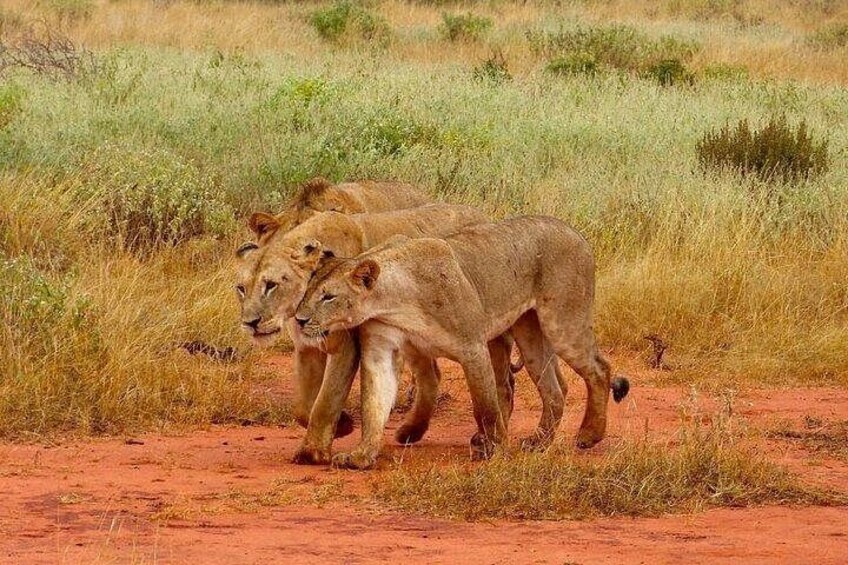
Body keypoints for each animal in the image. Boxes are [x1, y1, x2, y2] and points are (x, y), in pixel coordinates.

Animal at [236, 203, 517, 466]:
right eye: (240, 288)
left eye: (271, 285)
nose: (250, 323)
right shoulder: (307, 348)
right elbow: (303, 407)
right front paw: (341, 426)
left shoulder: (347, 346)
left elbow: (325, 401)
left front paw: (314, 452)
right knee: (432, 375)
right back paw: (411, 432)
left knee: (497, 378)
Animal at [295, 216, 630, 468]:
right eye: (307, 291)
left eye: (329, 297)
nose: (299, 319)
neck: (395, 300)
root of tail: (575, 232)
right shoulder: (380, 348)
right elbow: (374, 404)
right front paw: (362, 455)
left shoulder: (472, 345)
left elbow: (485, 405)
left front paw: (495, 449)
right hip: (530, 332)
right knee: (555, 388)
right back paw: (538, 442)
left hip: (562, 322)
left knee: (599, 369)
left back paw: (588, 435)